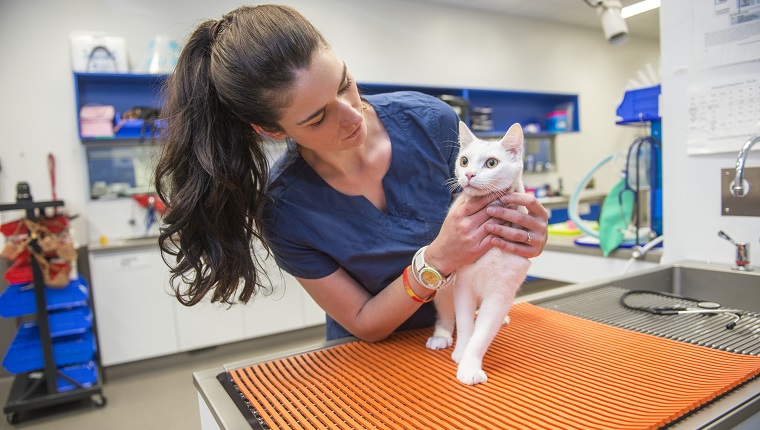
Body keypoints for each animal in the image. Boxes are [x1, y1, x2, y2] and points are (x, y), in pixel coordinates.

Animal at [424, 121, 532, 386]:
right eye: (464, 161)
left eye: (491, 163)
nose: (469, 174)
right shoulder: (463, 285)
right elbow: (464, 324)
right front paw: (462, 352)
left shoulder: (501, 292)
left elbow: (482, 334)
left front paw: (470, 365)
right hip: (444, 287)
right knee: (446, 314)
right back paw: (441, 335)